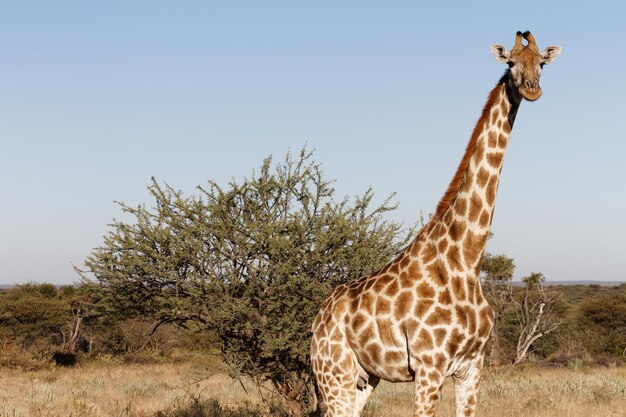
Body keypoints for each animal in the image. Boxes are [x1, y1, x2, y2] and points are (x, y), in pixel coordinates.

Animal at [310, 30, 560, 414]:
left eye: (542, 63)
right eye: (511, 62)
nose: (532, 89)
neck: (468, 256)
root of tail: (317, 320)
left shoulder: (472, 366)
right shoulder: (429, 365)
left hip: (365, 377)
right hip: (333, 373)